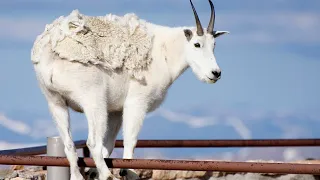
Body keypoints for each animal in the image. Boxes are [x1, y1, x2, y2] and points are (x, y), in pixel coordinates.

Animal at [30, 0, 228, 179]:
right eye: (197, 44)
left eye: (214, 45)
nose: (215, 73)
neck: (164, 52)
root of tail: (52, 52)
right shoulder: (137, 102)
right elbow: (130, 140)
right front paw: (128, 171)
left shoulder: (116, 110)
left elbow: (109, 144)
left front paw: (94, 172)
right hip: (93, 101)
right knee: (92, 142)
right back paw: (107, 174)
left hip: (55, 101)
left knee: (69, 143)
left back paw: (79, 175)